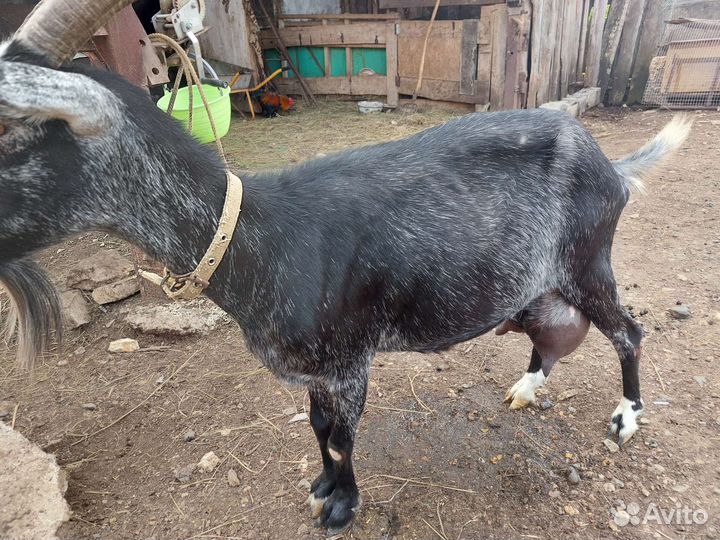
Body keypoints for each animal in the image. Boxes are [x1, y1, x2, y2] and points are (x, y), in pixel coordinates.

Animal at [0, 0, 691, 534]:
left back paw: (627, 417)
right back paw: (527, 386)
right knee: (555, 331)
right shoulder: (313, 371)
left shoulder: (348, 359)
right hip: (537, 289)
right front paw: (321, 486)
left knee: (627, 332)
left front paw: (343, 505)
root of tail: (613, 168)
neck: (263, 242)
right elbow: (316, 427)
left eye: (11, 132)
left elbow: (342, 434)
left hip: (587, 261)